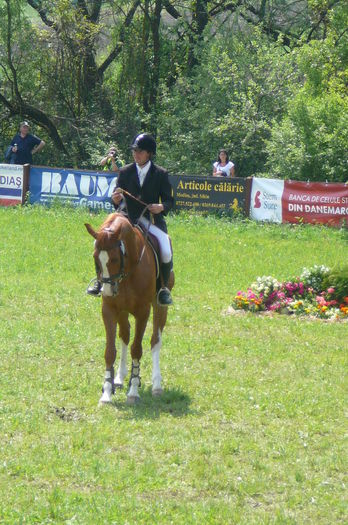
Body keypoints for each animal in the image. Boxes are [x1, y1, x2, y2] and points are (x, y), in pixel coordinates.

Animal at [85, 211, 174, 404]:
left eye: (115, 259)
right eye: (95, 258)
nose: (107, 291)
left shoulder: (143, 312)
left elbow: (137, 349)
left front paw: (133, 391)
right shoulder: (109, 310)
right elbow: (110, 351)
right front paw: (106, 392)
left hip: (160, 307)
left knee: (155, 340)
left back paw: (156, 385)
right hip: (122, 311)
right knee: (124, 335)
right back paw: (119, 378)